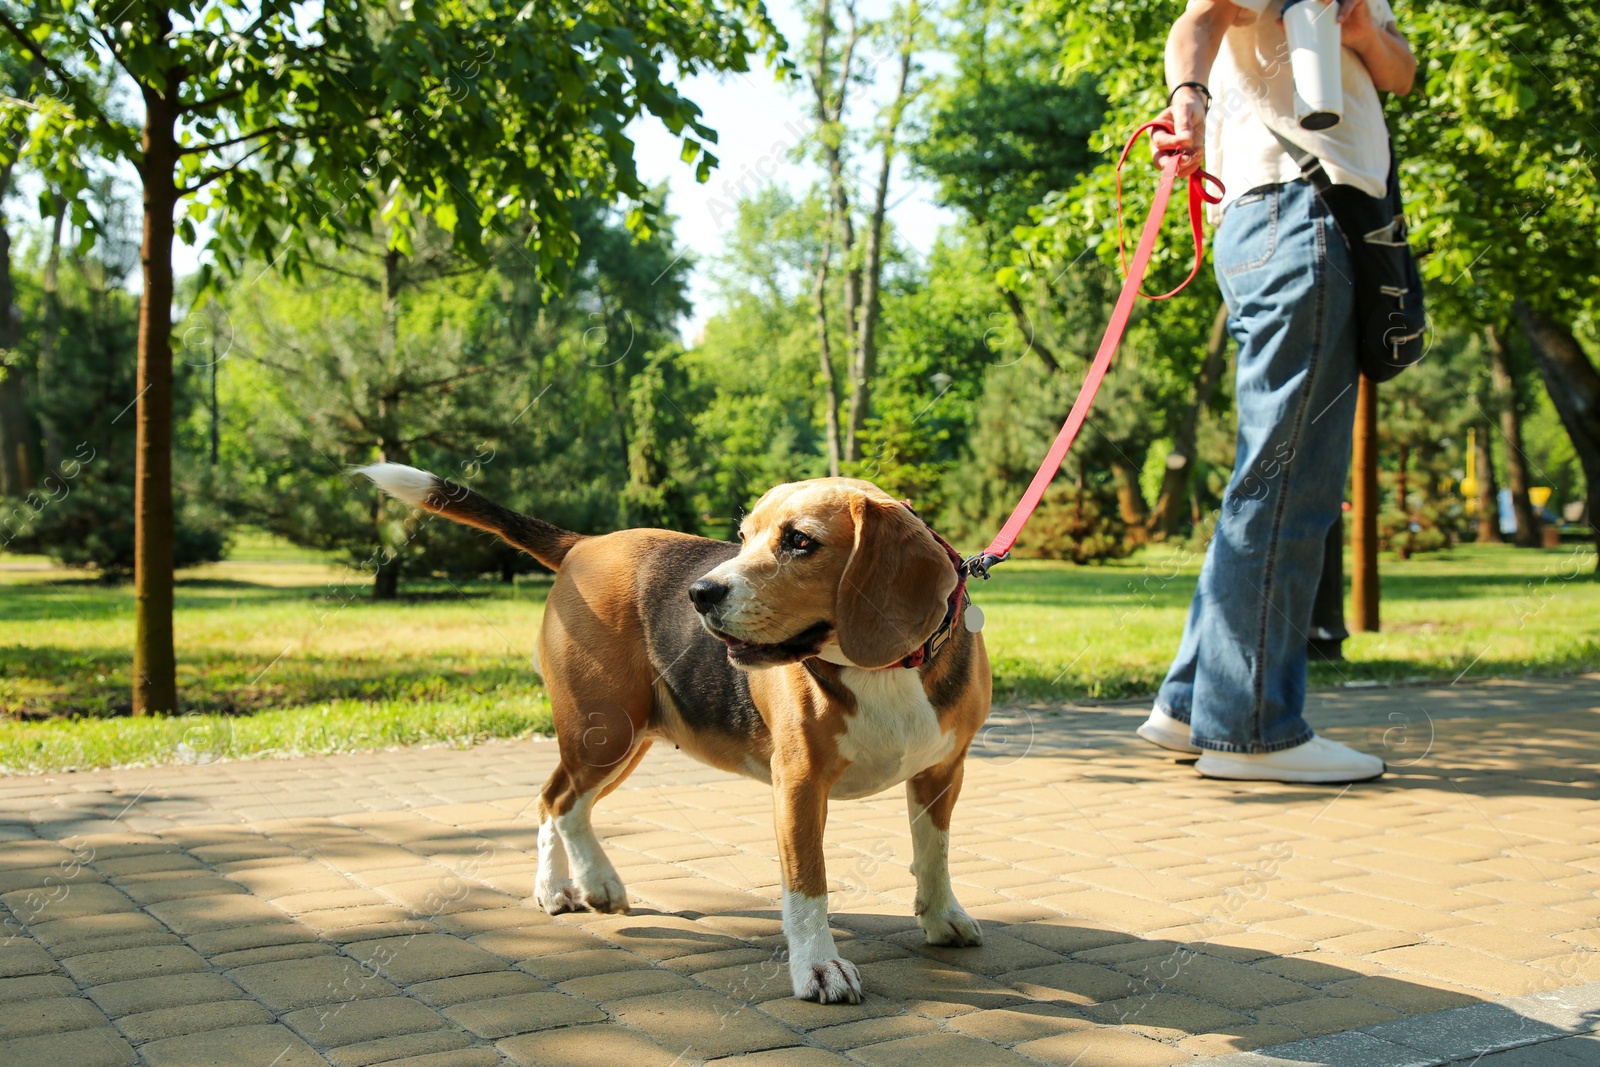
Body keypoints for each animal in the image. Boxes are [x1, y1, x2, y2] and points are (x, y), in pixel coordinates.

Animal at [356, 463, 992, 1004]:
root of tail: (584, 544)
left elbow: (934, 853)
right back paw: (556, 887)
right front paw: (818, 967)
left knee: (569, 807)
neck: (885, 668)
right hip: (601, 730)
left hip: (625, 740)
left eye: (799, 541)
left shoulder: (944, 771)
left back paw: (594, 882)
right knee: (553, 801)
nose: (700, 594)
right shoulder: (798, 785)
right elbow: (807, 886)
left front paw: (941, 917)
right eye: (743, 536)